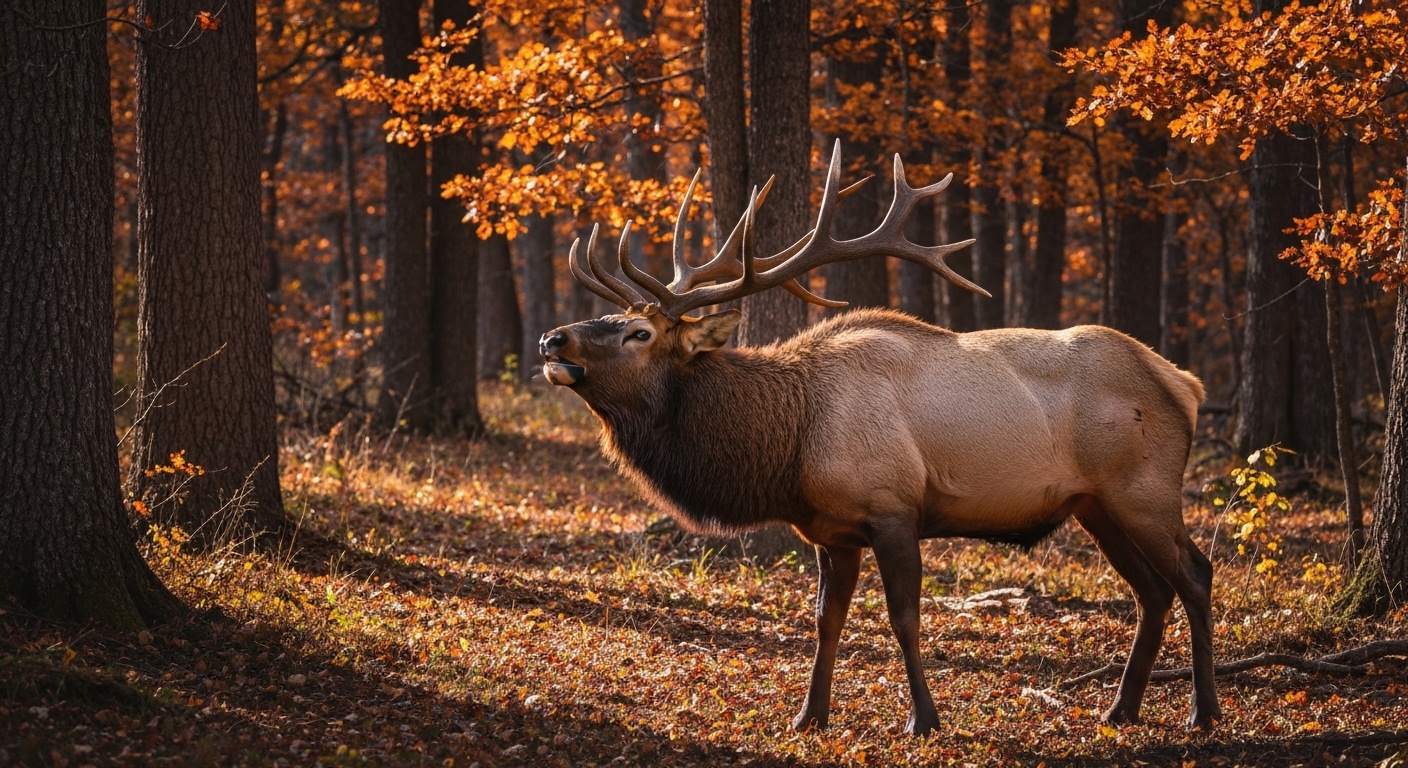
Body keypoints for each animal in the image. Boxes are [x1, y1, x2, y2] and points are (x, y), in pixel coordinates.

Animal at [537, 141, 1218, 737]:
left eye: (639, 334)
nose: (552, 339)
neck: (789, 449)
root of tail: (1183, 383)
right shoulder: (830, 531)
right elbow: (825, 620)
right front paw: (809, 717)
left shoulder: (893, 506)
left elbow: (904, 617)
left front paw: (924, 719)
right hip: (1095, 505)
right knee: (1152, 592)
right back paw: (1121, 709)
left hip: (1144, 490)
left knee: (1195, 573)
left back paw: (1202, 712)